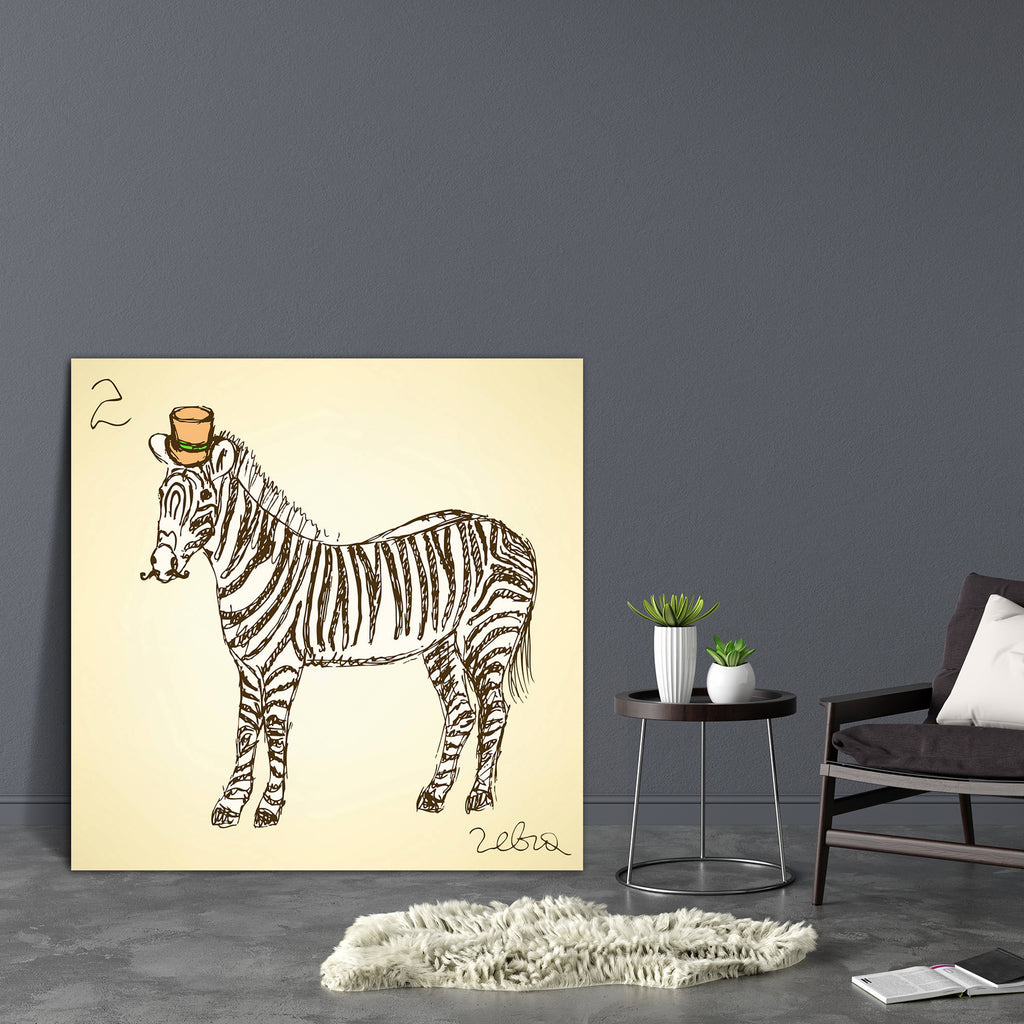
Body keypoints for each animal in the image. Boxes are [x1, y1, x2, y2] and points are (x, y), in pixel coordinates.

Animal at [142, 429, 537, 829]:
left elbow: (275, 730)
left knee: (495, 709)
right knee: (461, 712)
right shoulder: (249, 667)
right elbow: (245, 731)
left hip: (489, 631)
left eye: (205, 499)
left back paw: (480, 796)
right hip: (442, 644)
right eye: (161, 495)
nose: (161, 564)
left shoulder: (282, 665)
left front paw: (269, 807)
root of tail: (509, 531)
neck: (257, 561)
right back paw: (435, 795)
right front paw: (230, 804)